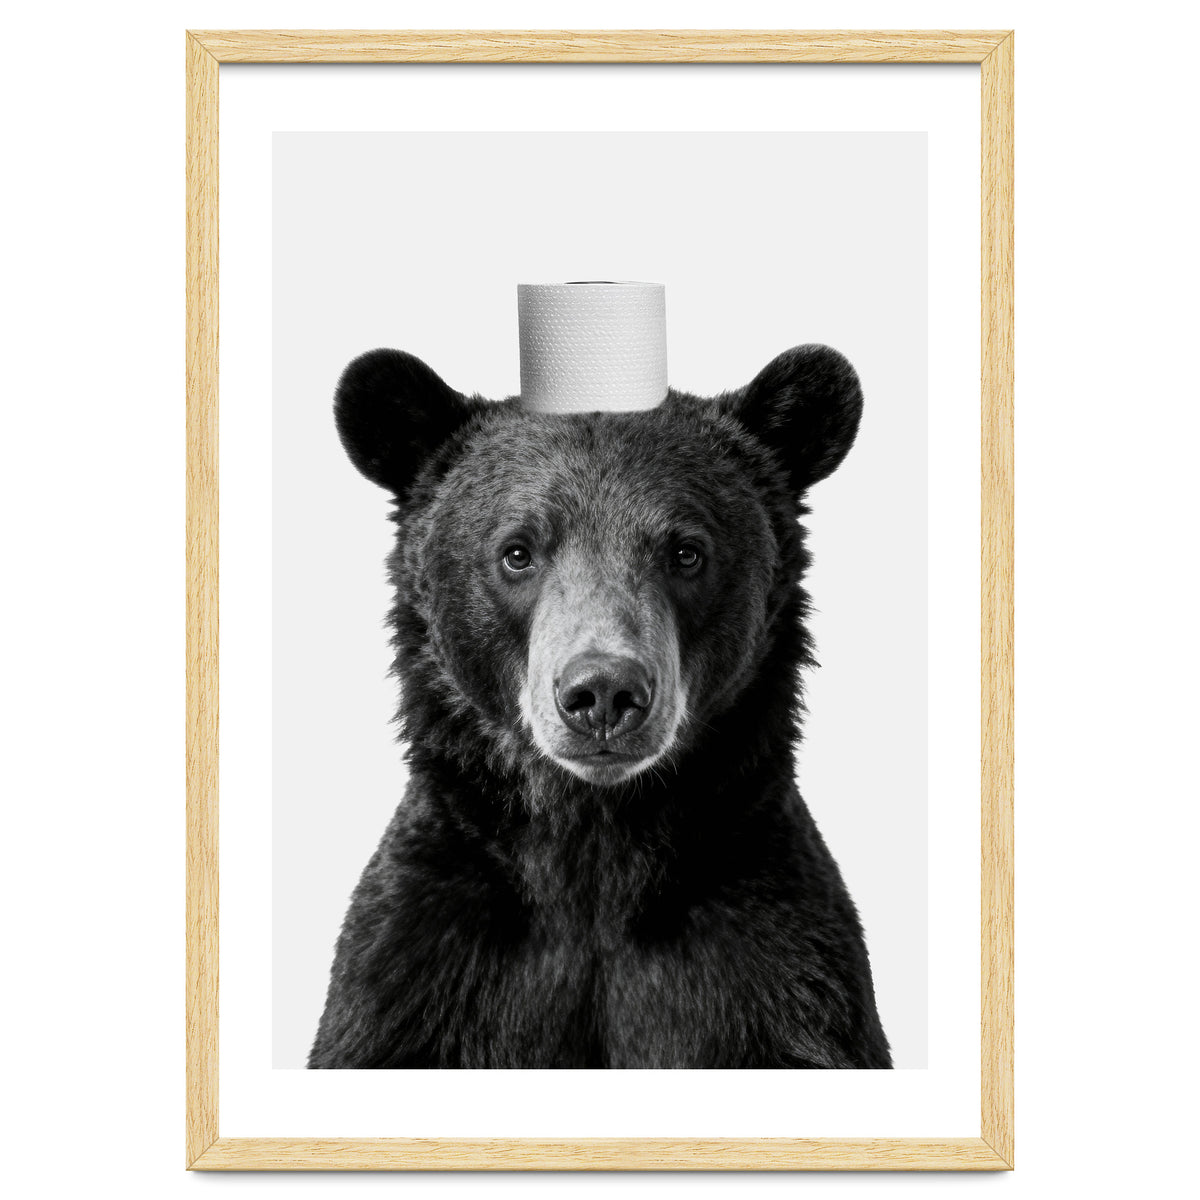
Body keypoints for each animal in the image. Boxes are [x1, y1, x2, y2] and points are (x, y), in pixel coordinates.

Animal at [308, 343, 892, 1069]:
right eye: (517, 552)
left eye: (686, 551)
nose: (604, 693)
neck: (595, 845)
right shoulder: (419, 968)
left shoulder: (777, 968)